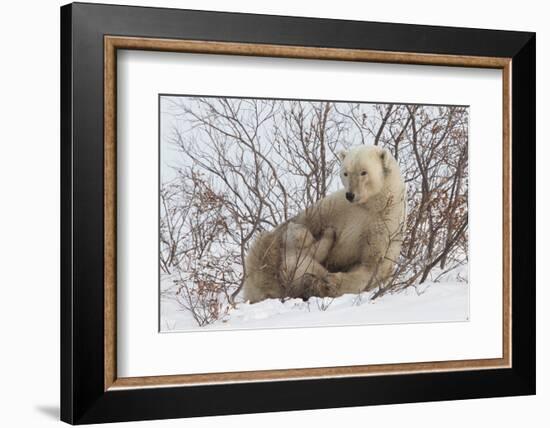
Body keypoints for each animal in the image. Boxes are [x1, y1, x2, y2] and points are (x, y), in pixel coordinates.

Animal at [244, 145, 408, 302]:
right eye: (345, 173)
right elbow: (308, 222)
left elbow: (371, 265)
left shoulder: (383, 225)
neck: (371, 205)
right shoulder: (334, 208)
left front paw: (331, 282)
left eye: (363, 172)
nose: (350, 194)